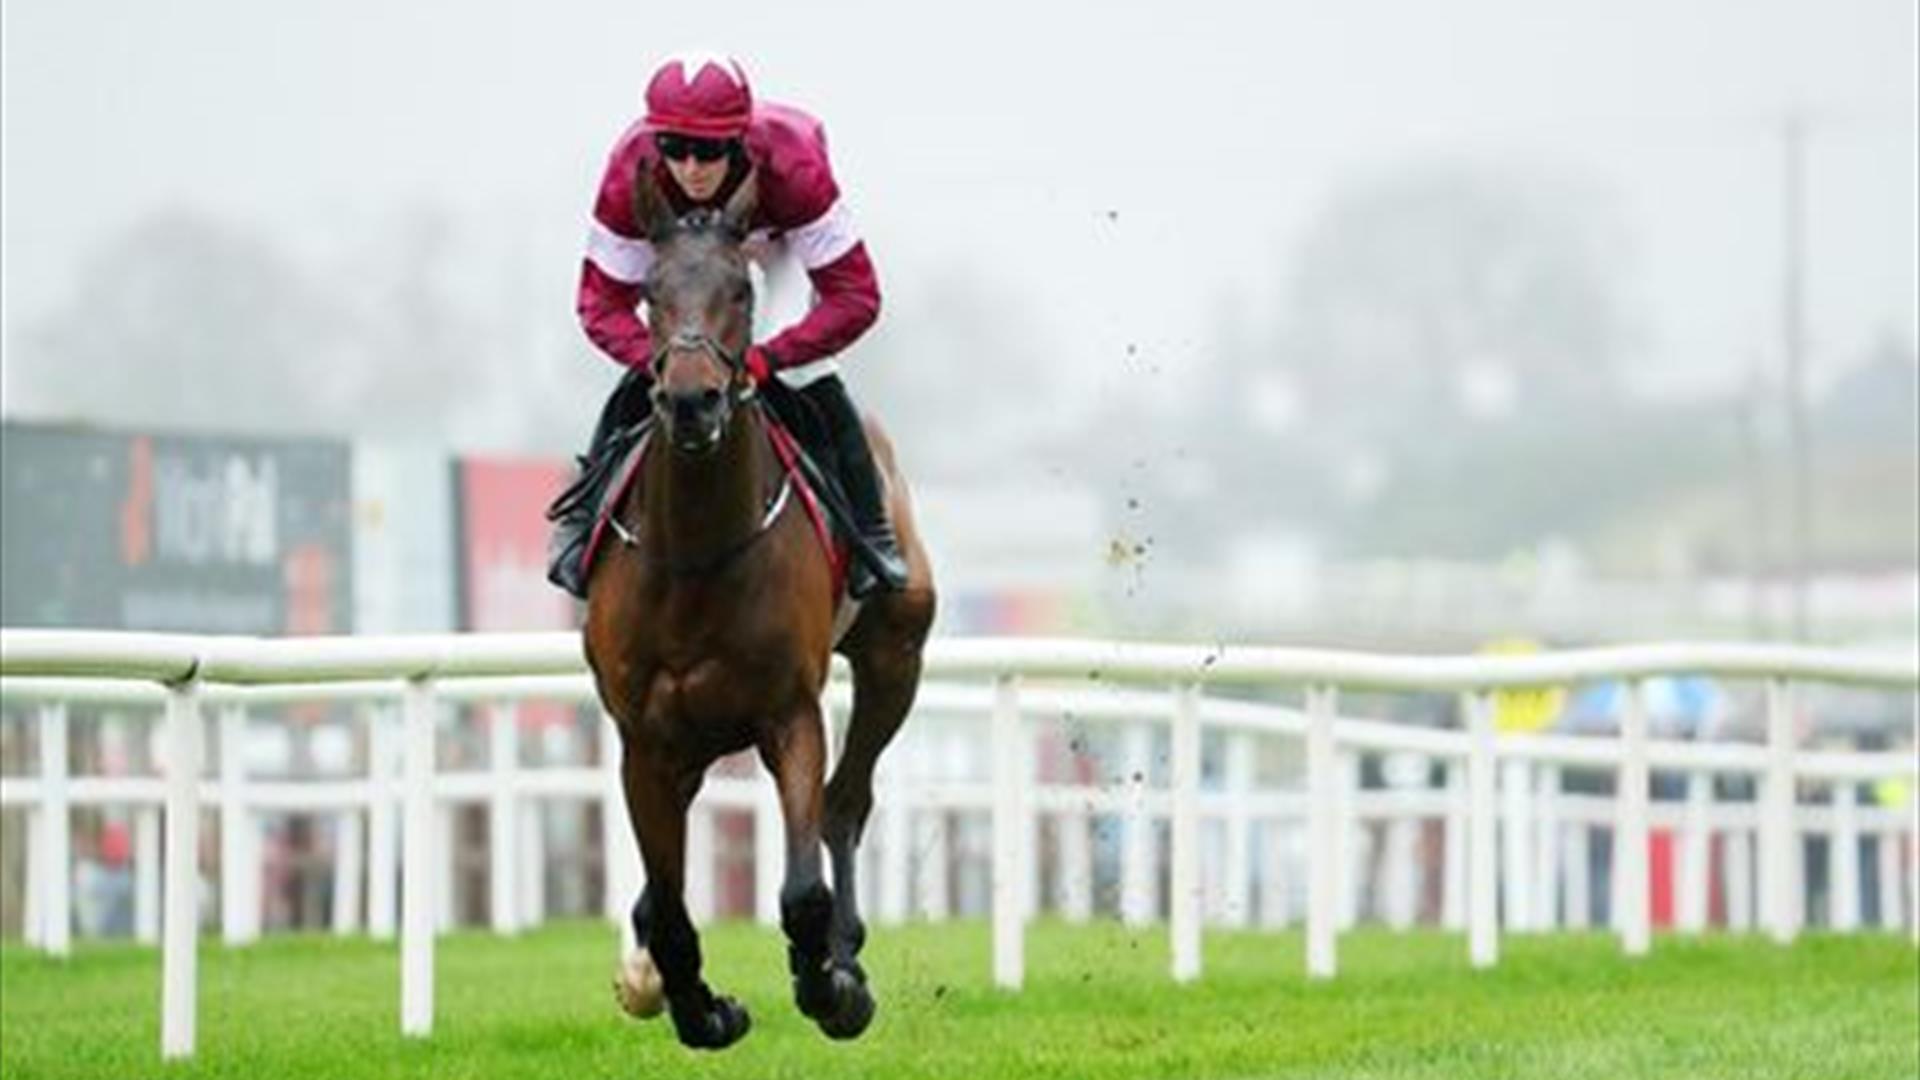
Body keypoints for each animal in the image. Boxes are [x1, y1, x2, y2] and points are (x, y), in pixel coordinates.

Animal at [583, 170, 936, 1045]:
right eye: (649, 292)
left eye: (741, 290)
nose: (693, 402)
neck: (696, 557)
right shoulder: (646, 741)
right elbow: (672, 909)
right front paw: (701, 1008)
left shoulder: (789, 713)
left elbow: (802, 890)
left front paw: (831, 988)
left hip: (895, 658)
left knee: (847, 802)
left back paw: (845, 954)